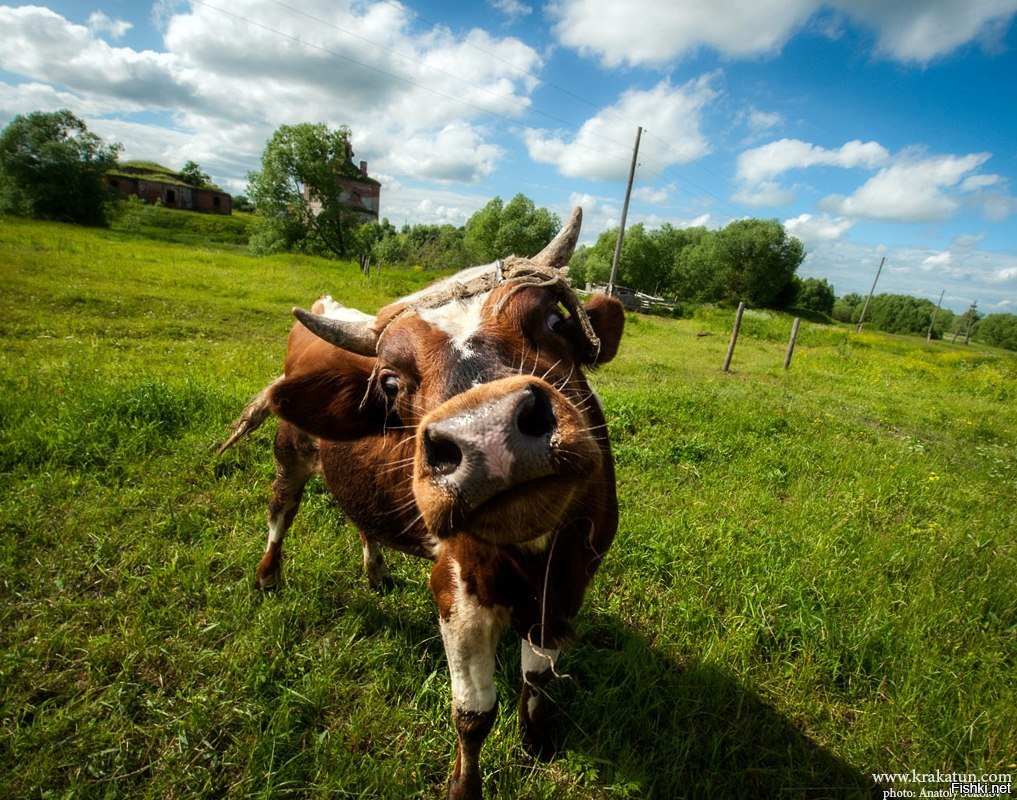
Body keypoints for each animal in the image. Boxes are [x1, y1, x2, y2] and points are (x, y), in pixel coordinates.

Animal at [218, 208, 622, 800]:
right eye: (390, 382)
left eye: (553, 322)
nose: (488, 433)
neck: (533, 557)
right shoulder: (458, 591)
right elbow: (473, 714)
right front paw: (464, 786)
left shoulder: (571, 582)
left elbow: (537, 677)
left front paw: (536, 740)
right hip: (290, 451)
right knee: (281, 510)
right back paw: (269, 575)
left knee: (362, 520)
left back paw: (376, 571)